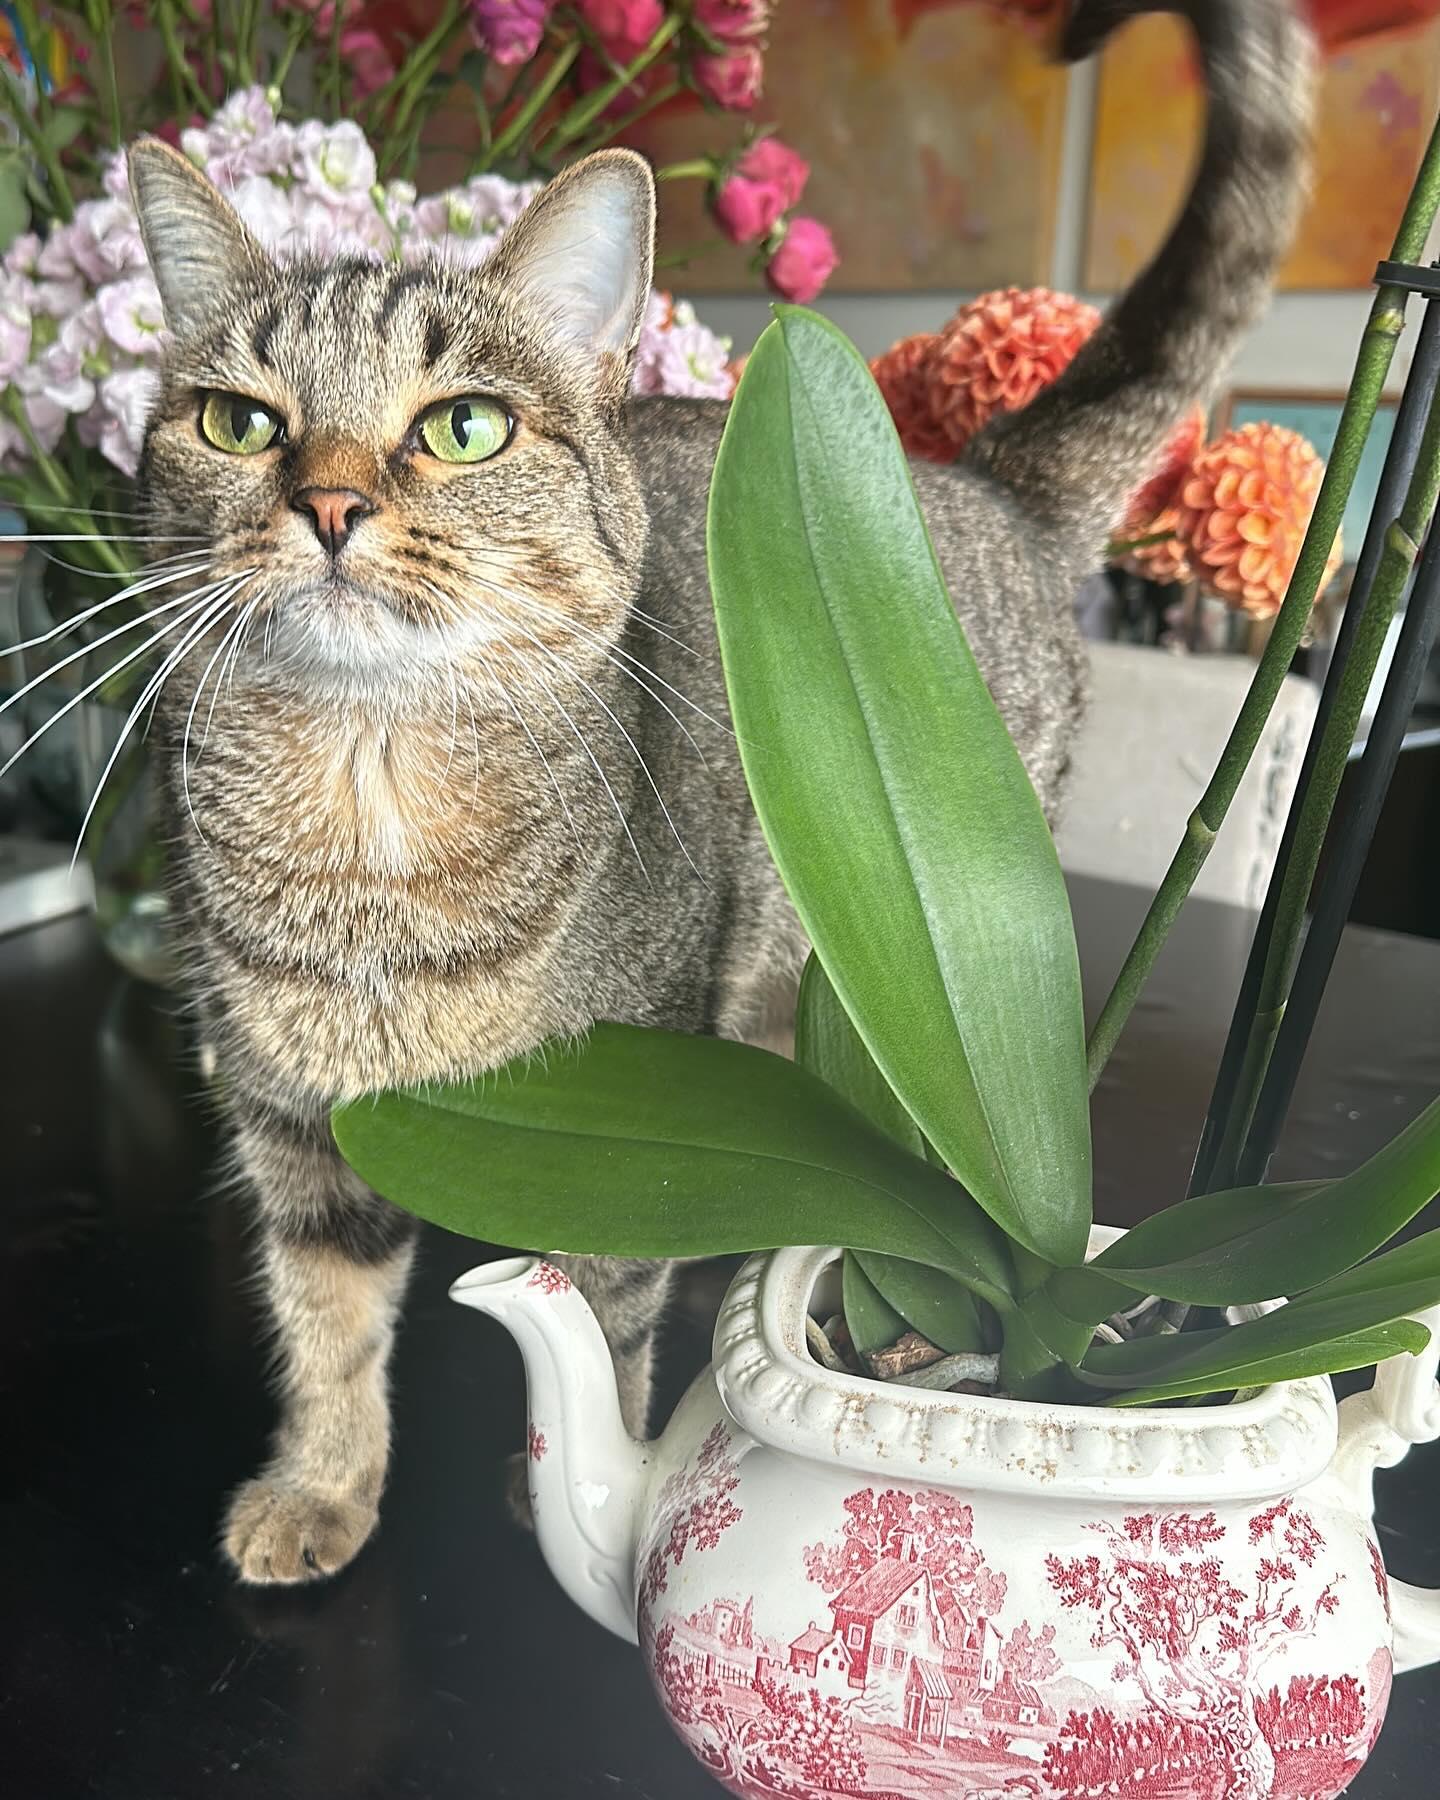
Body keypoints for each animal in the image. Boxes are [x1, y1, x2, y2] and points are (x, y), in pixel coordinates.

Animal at [120, 0, 1312, 1584]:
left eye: (463, 427)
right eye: (239, 424)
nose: (325, 503)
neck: (368, 811)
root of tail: (982, 484)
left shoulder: (614, 1111)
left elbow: (607, 1314)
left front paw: (581, 1482)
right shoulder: (294, 1113)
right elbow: (325, 1321)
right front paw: (323, 1488)